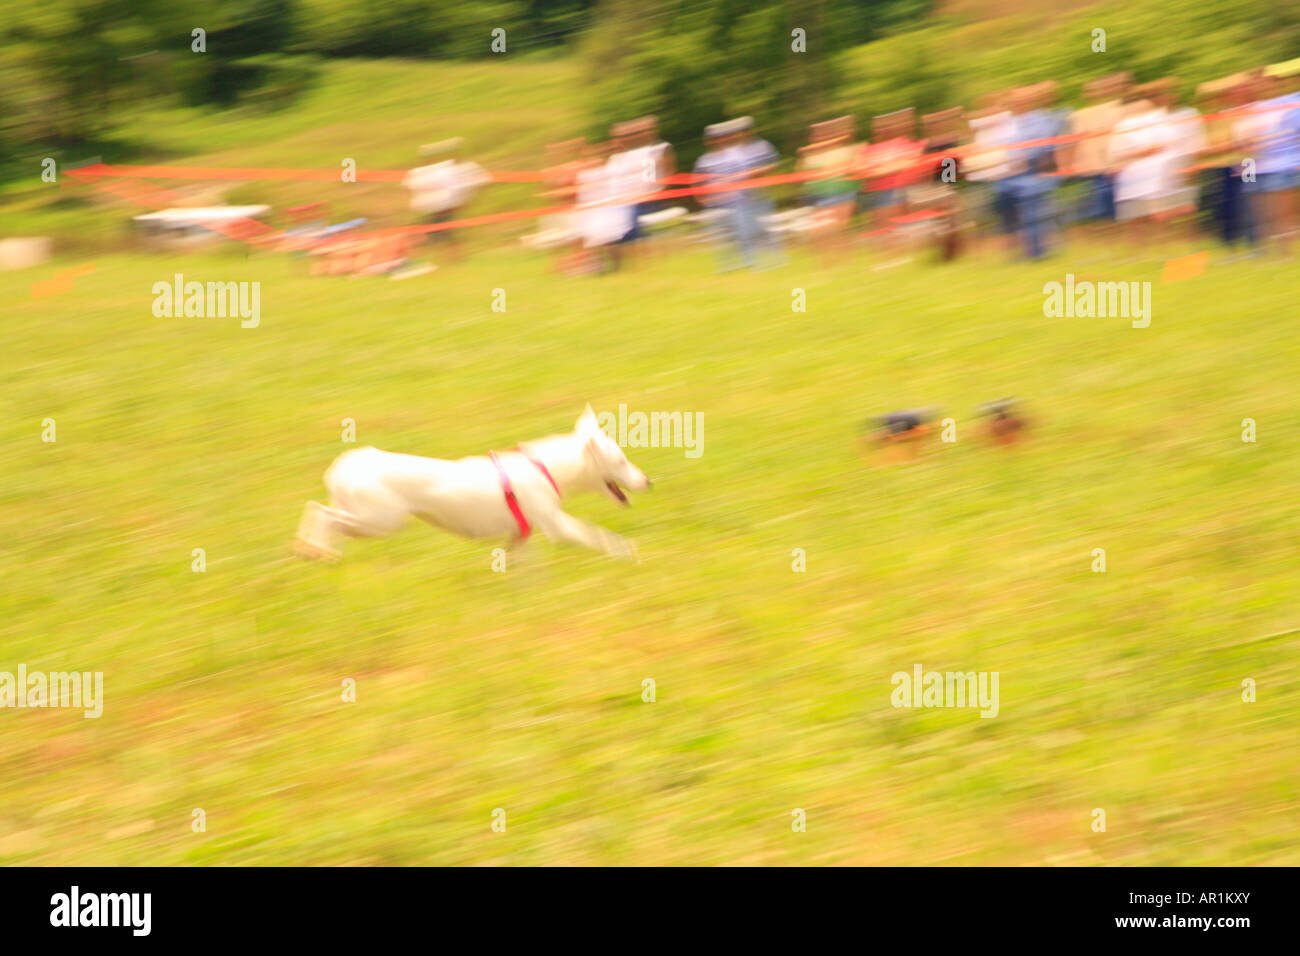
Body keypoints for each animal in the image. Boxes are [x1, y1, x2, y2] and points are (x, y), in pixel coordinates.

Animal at [295, 403, 650, 561]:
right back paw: (315, 548)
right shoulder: (558, 525)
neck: (544, 467)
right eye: (621, 460)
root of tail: (343, 466)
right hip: (378, 521)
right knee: (323, 514)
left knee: (317, 511)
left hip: (363, 519)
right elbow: (598, 535)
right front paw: (627, 550)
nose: (648, 482)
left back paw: (314, 548)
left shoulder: (519, 535)